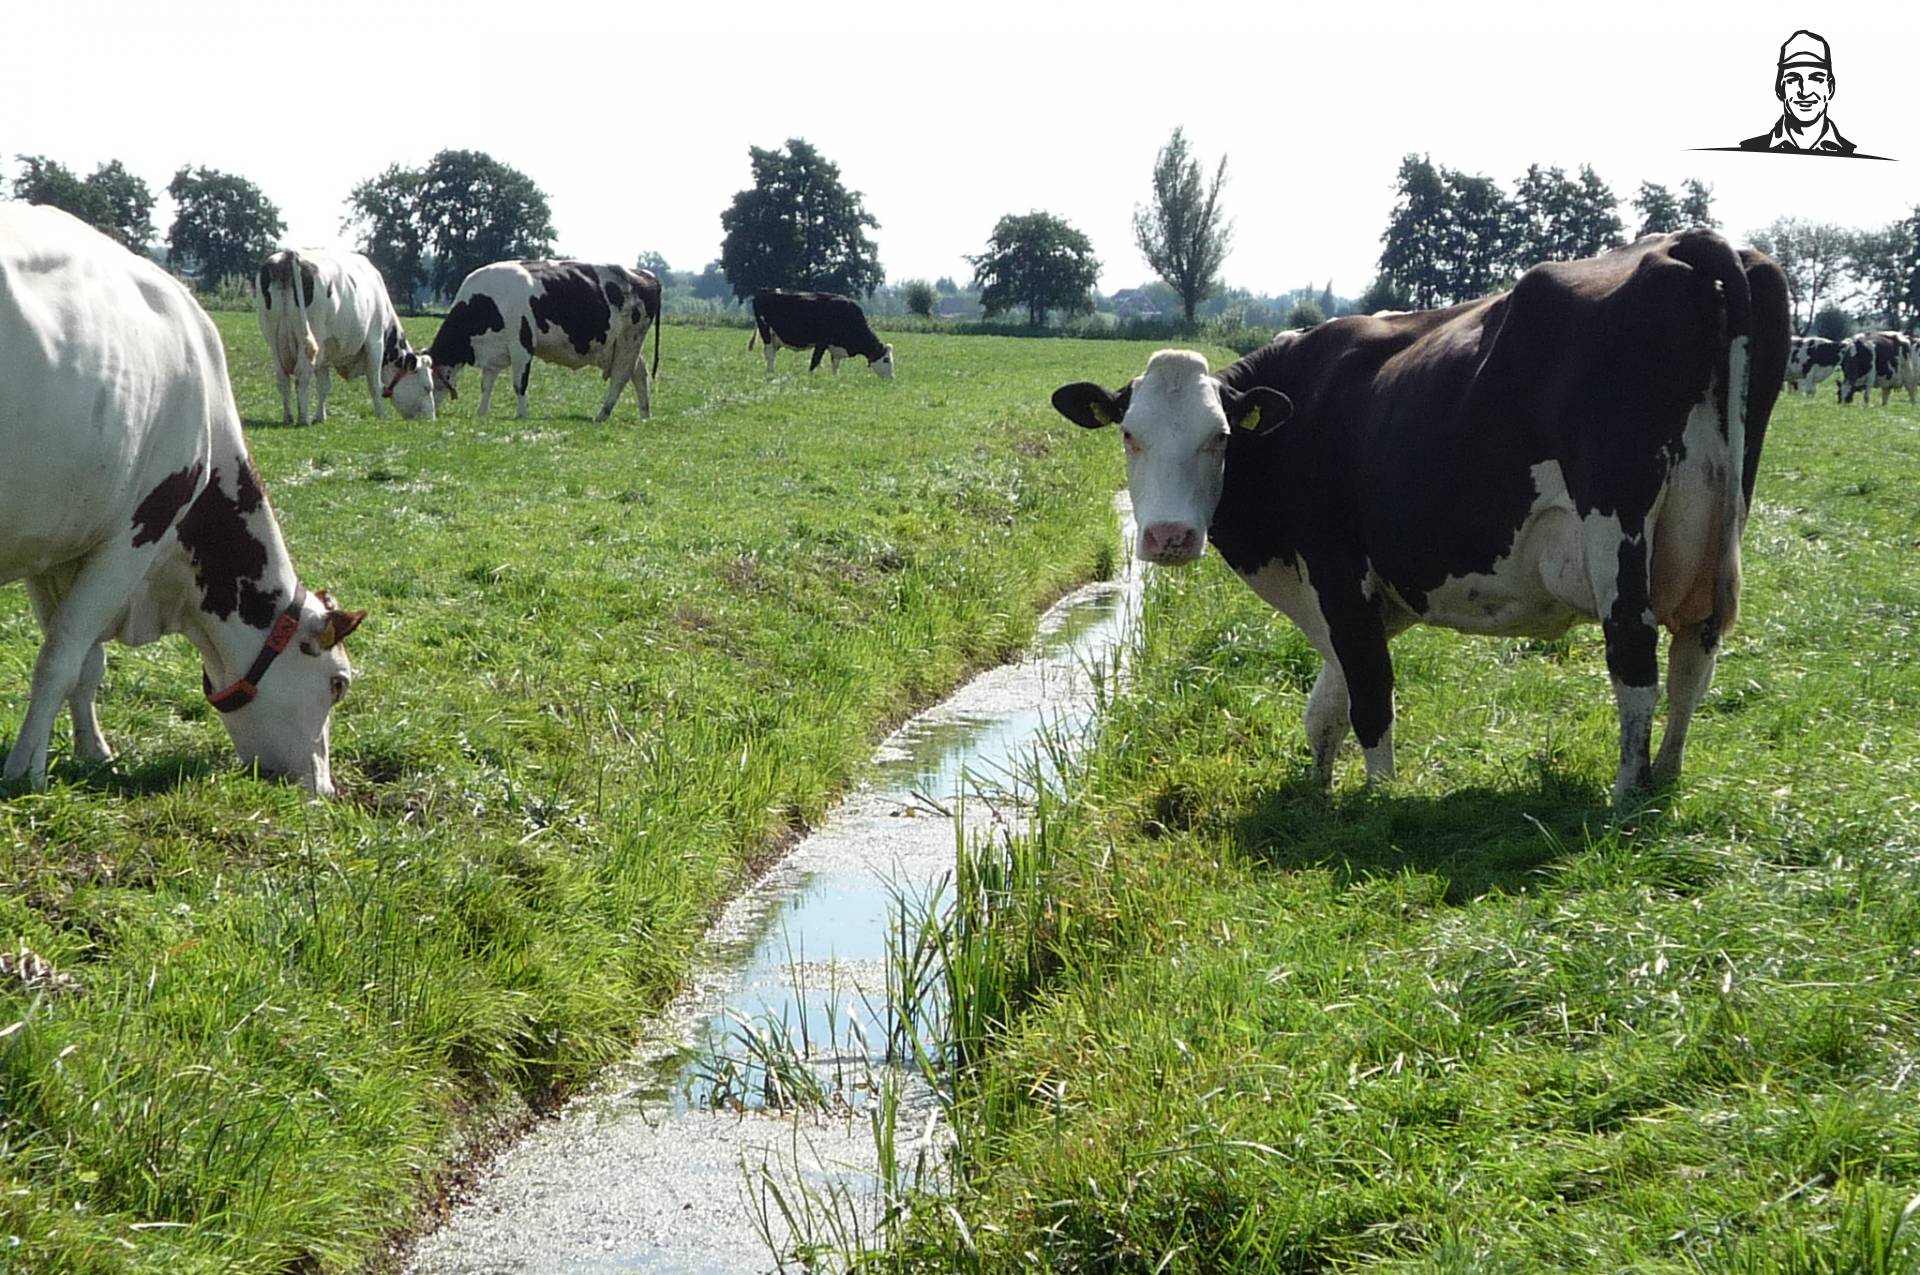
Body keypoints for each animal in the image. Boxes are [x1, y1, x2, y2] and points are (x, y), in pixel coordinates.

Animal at [1, 204, 366, 795]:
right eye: (338, 683)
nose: (324, 788)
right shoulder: (136, 534)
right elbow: (60, 661)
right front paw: (25, 770)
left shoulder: (54, 547)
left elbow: (85, 661)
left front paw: (92, 751)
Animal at [255, 248, 436, 425]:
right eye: (427, 387)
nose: (431, 419)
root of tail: (288, 254)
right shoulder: (374, 341)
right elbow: (374, 383)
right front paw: (381, 415)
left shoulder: (324, 349)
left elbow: (324, 386)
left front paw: (320, 417)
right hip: (309, 336)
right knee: (301, 376)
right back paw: (303, 419)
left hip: (273, 338)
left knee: (282, 379)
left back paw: (288, 417)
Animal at [426, 260, 662, 420]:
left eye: (429, 382)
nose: (428, 415)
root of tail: (646, 274)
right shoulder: (493, 351)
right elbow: (486, 384)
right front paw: (481, 412)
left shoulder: (522, 345)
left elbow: (519, 383)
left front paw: (521, 414)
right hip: (622, 345)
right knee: (639, 373)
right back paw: (644, 415)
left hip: (629, 341)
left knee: (621, 377)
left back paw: (602, 414)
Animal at [748, 289, 895, 379]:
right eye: (886, 359)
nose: (891, 378)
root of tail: (763, 292)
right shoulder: (822, 342)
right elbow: (815, 360)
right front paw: (810, 377)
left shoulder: (835, 346)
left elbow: (835, 364)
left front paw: (835, 378)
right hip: (766, 332)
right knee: (770, 354)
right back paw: (770, 374)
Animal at [1051, 229, 1788, 806]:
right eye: (1129, 435)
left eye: (1221, 438)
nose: (1169, 537)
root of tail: (1684, 242)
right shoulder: (1365, 598)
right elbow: (1327, 705)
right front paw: (1317, 792)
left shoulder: (1339, 573)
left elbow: (1371, 696)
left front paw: (1379, 803)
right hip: (1716, 534)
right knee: (1695, 656)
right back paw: (1665, 778)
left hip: (1618, 532)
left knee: (1635, 662)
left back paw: (1626, 793)